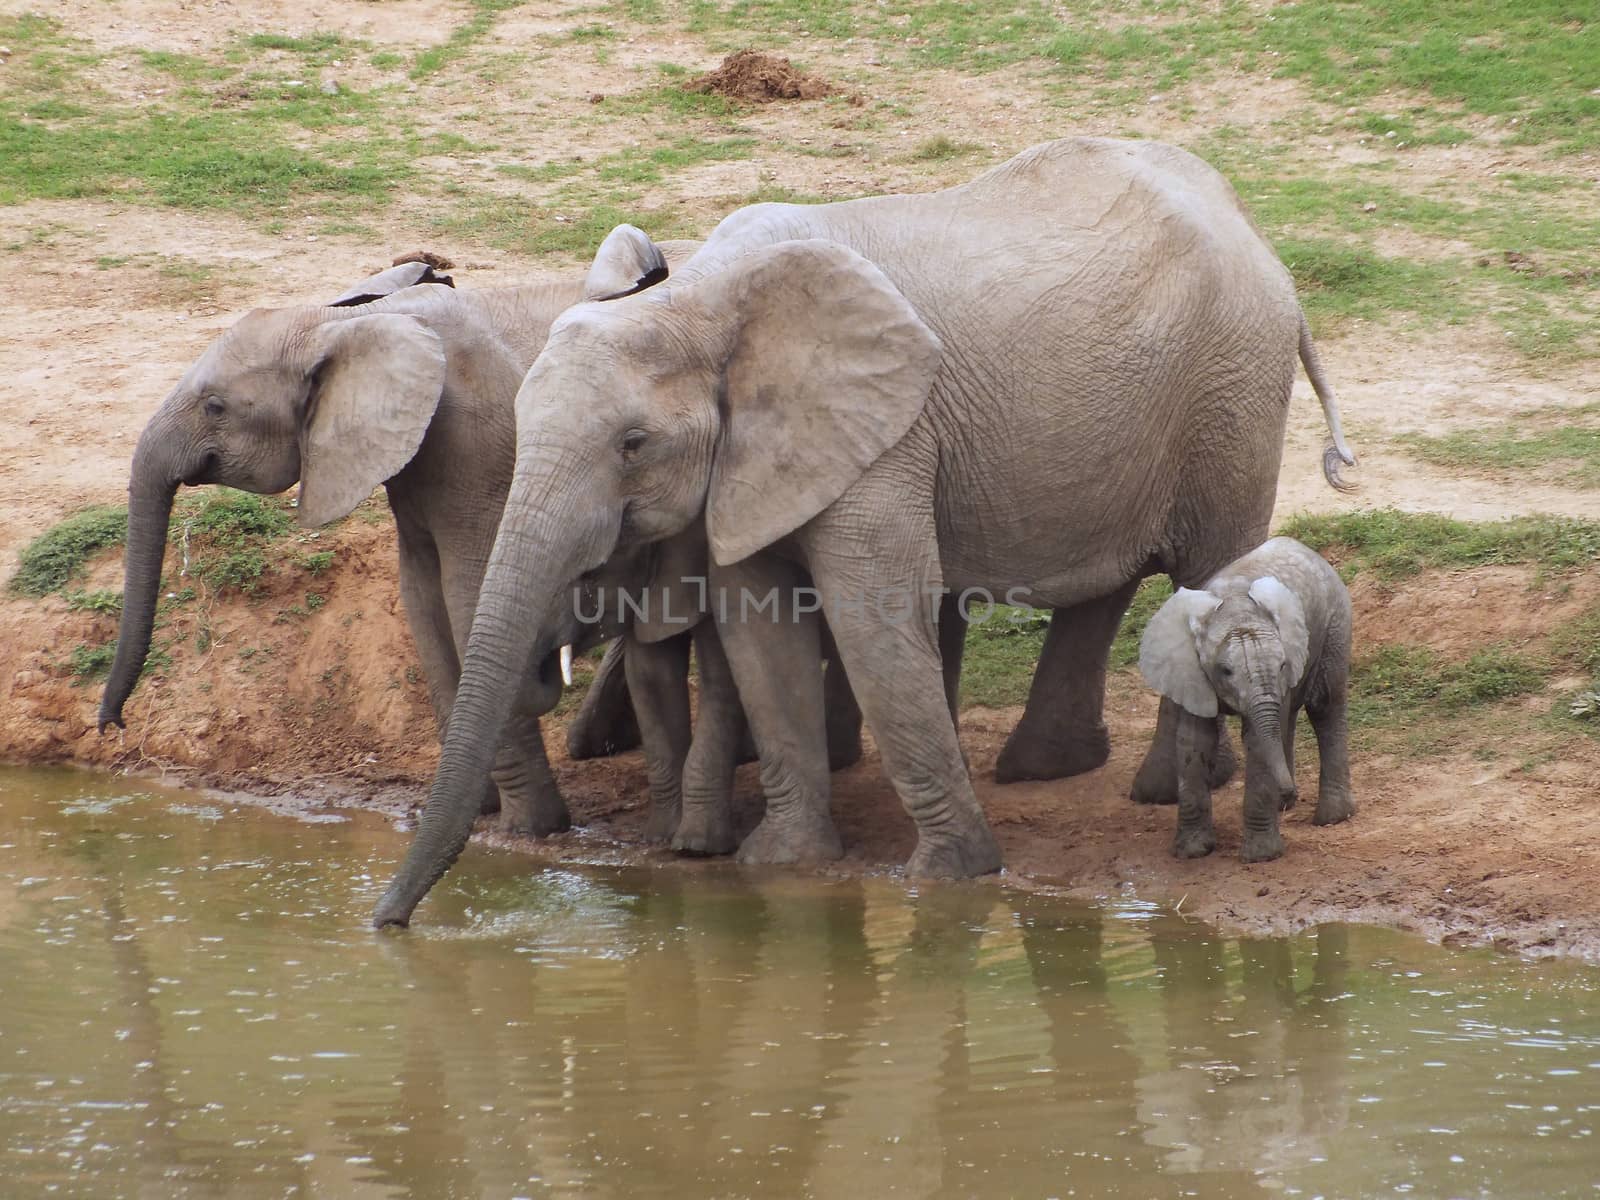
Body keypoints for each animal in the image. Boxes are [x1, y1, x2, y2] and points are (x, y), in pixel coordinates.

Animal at [98, 232, 688, 838]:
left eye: (215, 407)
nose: (112, 724)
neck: (349, 323)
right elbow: (422, 600)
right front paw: (475, 811)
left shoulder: (475, 447)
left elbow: (467, 599)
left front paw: (530, 827)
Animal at [1139, 537, 1350, 864]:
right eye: (1225, 670)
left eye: (1282, 665)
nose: (1289, 791)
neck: (1233, 604)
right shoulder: (1191, 670)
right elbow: (1193, 739)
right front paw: (1192, 851)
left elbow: (1256, 741)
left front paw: (1261, 856)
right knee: (1290, 718)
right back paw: (1285, 806)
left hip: (1335, 624)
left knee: (1325, 706)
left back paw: (1331, 817)